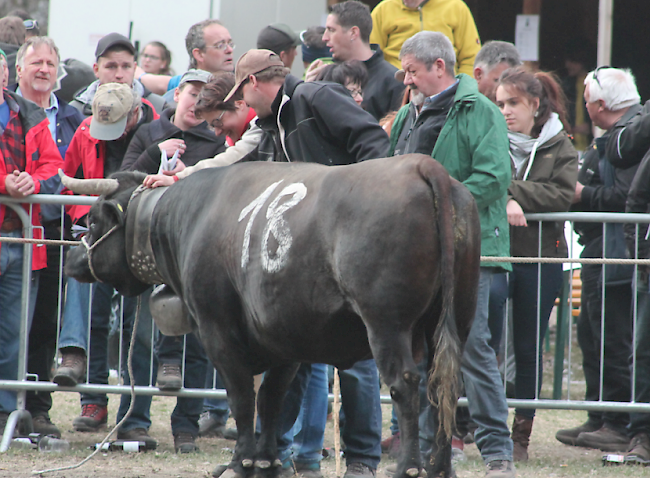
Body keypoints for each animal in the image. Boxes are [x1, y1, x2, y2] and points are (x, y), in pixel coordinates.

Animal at [62, 154, 480, 478]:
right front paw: (267, 461)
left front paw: (240, 462)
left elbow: (242, 397)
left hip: (388, 325)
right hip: (452, 321)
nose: (73, 257)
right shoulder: (285, 338)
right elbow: (273, 399)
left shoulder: (217, 330)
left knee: (406, 386)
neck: (191, 216)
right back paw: (439, 466)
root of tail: (421, 165)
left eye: (95, 220)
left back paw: (409, 466)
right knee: (443, 387)